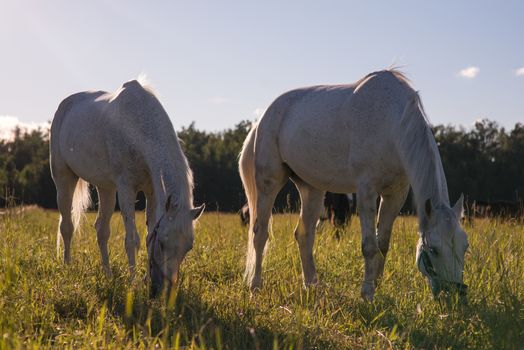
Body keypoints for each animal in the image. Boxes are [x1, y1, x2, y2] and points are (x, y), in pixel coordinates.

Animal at [49, 78, 205, 296]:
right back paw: (67, 267)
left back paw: (108, 276)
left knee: (101, 231)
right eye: (163, 243)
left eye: (188, 247)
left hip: (106, 188)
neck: (137, 128)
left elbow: (147, 236)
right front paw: (134, 283)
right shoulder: (126, 189)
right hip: (64, 179)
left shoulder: (151, 191)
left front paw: (144, 279)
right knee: (67, 227)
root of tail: (65, 105)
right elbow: (132, 240)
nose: (163, 291)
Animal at [239, 69, 468, 300]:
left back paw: (312, 285)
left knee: (304, 235)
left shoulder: (395, 195)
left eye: (465, 246)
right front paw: (366, 293)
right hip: (268, 183)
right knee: (260, 233)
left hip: (312, 189)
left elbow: (382, 244)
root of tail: (262, 119)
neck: (391, 123)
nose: (454, 294)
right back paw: (255, 286)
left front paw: (376, 285)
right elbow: (369, 246)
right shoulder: (366, 190)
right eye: (434, 249)